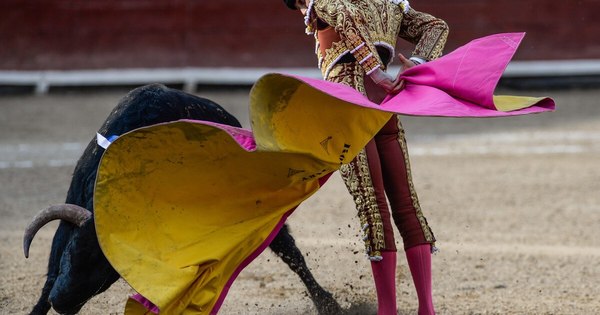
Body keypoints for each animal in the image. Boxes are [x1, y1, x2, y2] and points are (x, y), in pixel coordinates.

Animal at [23, 84, 340, 315]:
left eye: (101, 271)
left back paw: (328, 304)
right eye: (71, 254)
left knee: (290, 251)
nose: (60, 303)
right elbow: (49, 272)